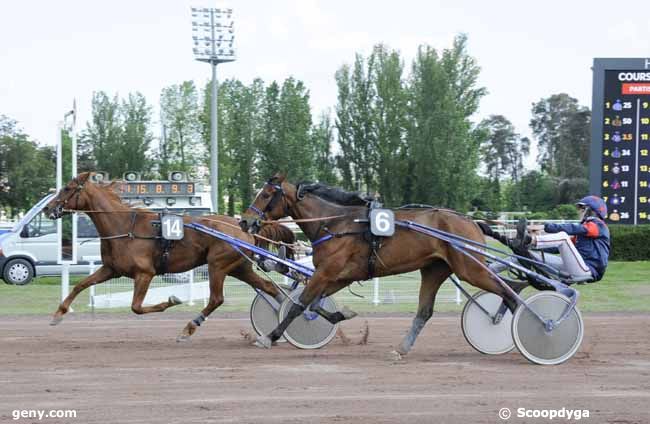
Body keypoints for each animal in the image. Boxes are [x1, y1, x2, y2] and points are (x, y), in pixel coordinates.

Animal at [41, 172, 282, 342]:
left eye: (67, 188)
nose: (47, 208)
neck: (124, 226)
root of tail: (244, 228)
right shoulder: (111, 269)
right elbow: (80, 284)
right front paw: (58, 314)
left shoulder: (145, 273)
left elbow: (136, 307)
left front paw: (171, 301)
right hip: (239, 267)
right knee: (269, 288)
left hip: (218, 265)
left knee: (216, 299)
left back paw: (188, 328)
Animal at [239, 174, 516, 356]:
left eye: (265, 194)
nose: (244, 221)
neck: (337, 224)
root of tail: (472, 222)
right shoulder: (340, 276)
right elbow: (315, 305)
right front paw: (344, 313)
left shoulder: (327, 272)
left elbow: (299, 305)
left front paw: (269, 337)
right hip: (434, 270)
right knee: (424, 312)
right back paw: (401, 349)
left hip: (470, 269)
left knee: (508, 291)